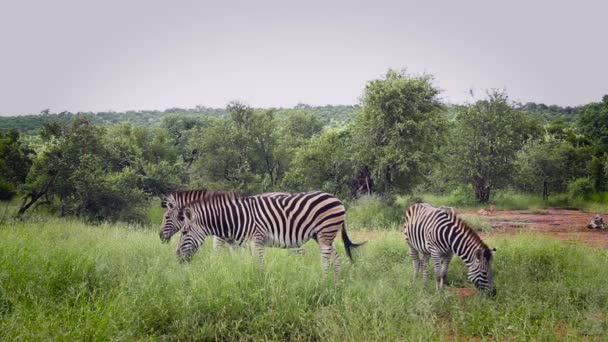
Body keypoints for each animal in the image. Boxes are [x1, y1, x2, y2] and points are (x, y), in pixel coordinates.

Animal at [169, 190, 364, 272]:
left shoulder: (257, 239)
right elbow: (246, 263)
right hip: (322, 235)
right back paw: (336, 282)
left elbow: (259, 264)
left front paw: (260, 284)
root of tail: (336, 198)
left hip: (325, 233)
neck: (236, 218)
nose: (177, 256)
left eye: (184, 233)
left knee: (325, 258)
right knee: (336, 258)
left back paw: (324, 280)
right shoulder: (243, 244)